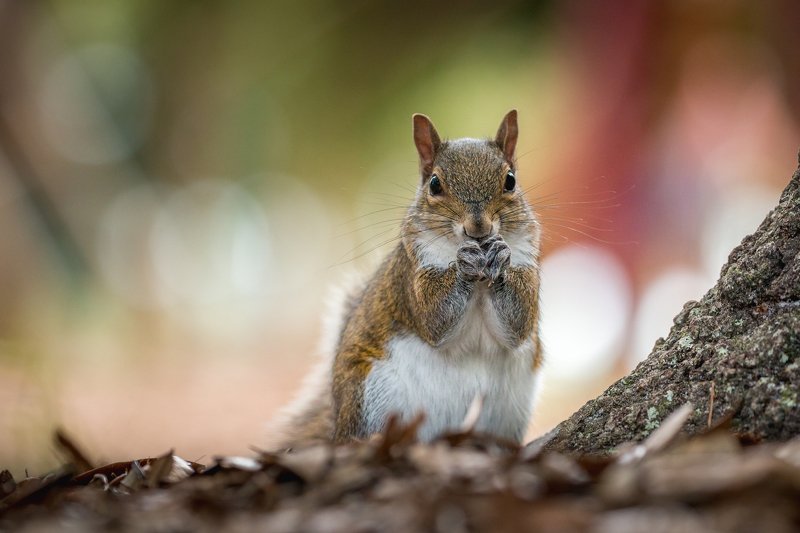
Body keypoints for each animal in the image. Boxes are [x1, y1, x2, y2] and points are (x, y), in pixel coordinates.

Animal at [273, 110, 542, 446]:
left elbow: (517, 325)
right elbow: (432, 317)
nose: (478, 228)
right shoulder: (410, 273)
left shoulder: (528, 264)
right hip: (372, 398)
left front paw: (500, 256)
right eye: (435, 184)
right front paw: (463, 264)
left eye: (510, 181)